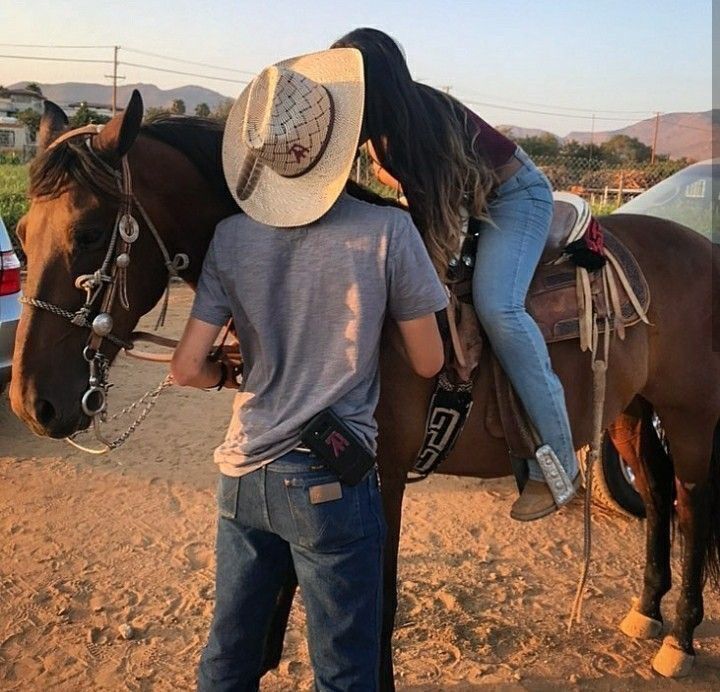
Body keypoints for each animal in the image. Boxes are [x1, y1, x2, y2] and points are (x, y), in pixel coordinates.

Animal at [11, 94, 720, 684]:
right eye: (20, 237)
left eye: (89, 233)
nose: (32, 403)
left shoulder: (378, 475)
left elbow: (372, 605)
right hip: (630, 414)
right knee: (657, 497)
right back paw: (647, 611)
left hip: (690, 419)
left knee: (689, 506)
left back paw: (680, 638)